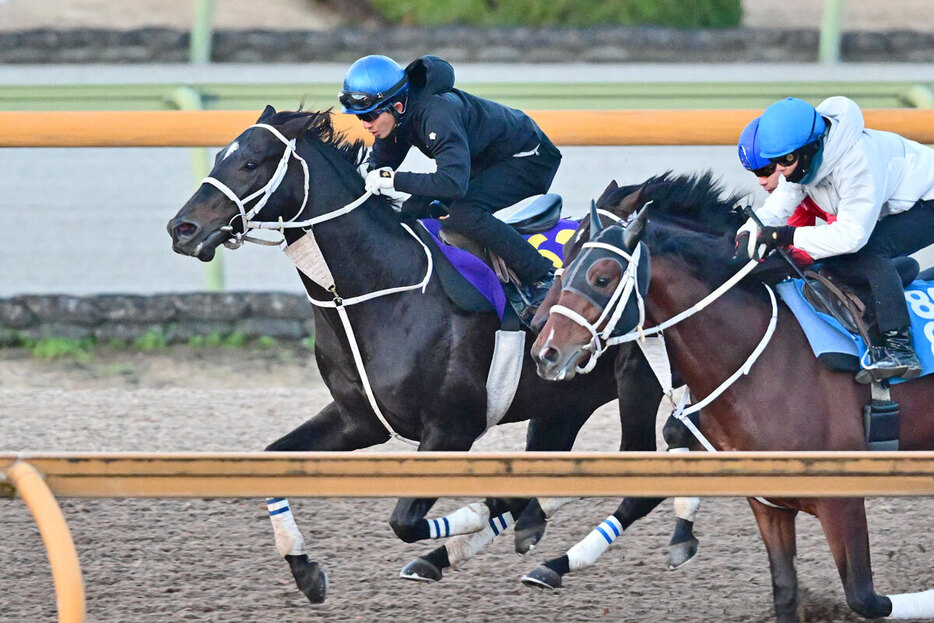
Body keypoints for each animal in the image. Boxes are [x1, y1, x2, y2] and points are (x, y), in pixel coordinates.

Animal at [165, 107, 668, 604]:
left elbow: (406, 520)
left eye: (251, 163)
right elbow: (274, 460)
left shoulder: (451, 429)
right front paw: (305, 570)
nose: (181, 229)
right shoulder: (358, 421)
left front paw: (479, 516)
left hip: (639, 385)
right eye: (219, 158)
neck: (377, 290)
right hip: (564, 401)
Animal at [532, 173, 934, 620]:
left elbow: (868, 599)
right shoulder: (768, 504)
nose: (544, 347)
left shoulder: (840, 502)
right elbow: (785, 592)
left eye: (601, 277)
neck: (760, 358)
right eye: (566, 257)